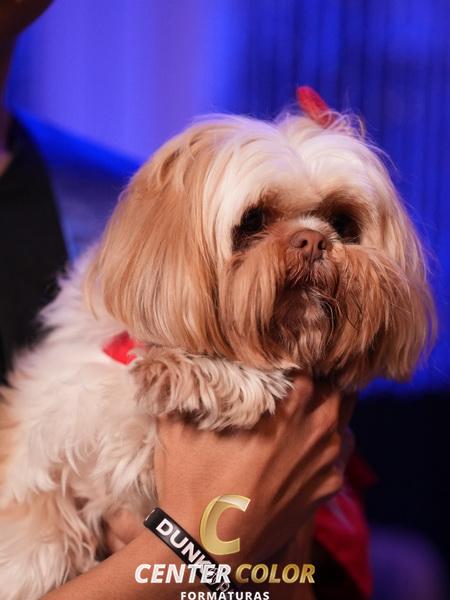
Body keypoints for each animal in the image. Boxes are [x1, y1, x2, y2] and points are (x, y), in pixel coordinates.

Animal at [0, 89, 435, 598]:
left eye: (343, 223)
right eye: (253, 220)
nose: (314, 240)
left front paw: (204, 375)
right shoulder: (50, 418)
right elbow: (34, 507)